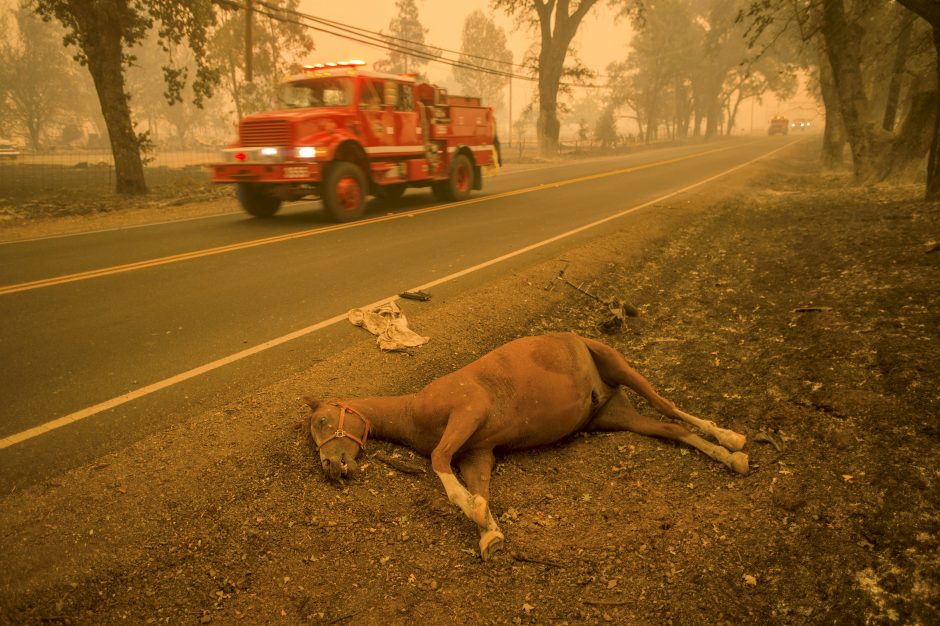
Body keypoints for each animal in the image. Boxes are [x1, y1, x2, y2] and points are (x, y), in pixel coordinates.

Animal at [306, 330, 748, 560]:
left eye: (323, 420)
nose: (330, 468)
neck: (415, 410)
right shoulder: (477, 454)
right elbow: (478, 487)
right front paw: (488, 530)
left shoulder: (468, 411)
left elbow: (438, 460)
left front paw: (474, 511)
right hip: (617, 415)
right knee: (671, 429)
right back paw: (731, 458)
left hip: (620, 367)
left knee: (670, 408)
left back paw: (732, 440)